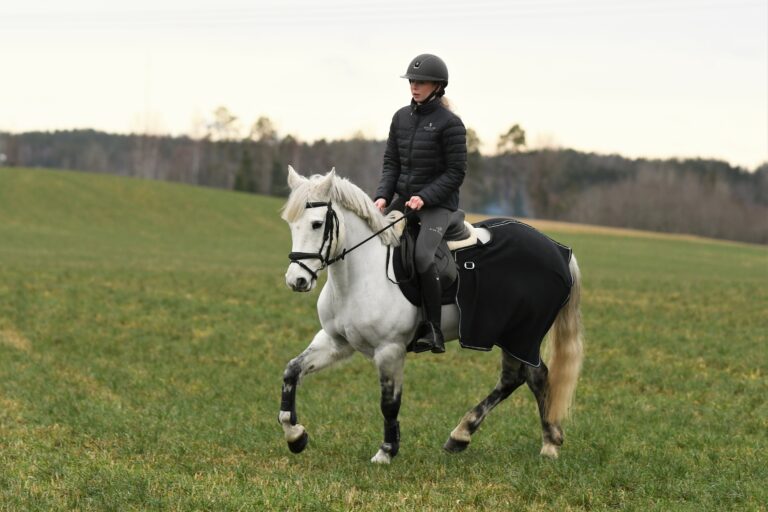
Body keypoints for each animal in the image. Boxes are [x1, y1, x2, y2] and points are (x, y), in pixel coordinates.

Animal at [280, 167, 584, 464]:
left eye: (317, 224)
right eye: (290, 224)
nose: (297, 280)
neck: (361, 274)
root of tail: (559, 251)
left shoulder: (390, 350)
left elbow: (389, 402)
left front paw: (386, 451)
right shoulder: (335, 342)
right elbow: (291, 371)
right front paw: (295, 436)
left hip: (522, 334)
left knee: (532, 377)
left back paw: (545, 443)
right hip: (509, 334)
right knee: (520, 378)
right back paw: (469, 436)